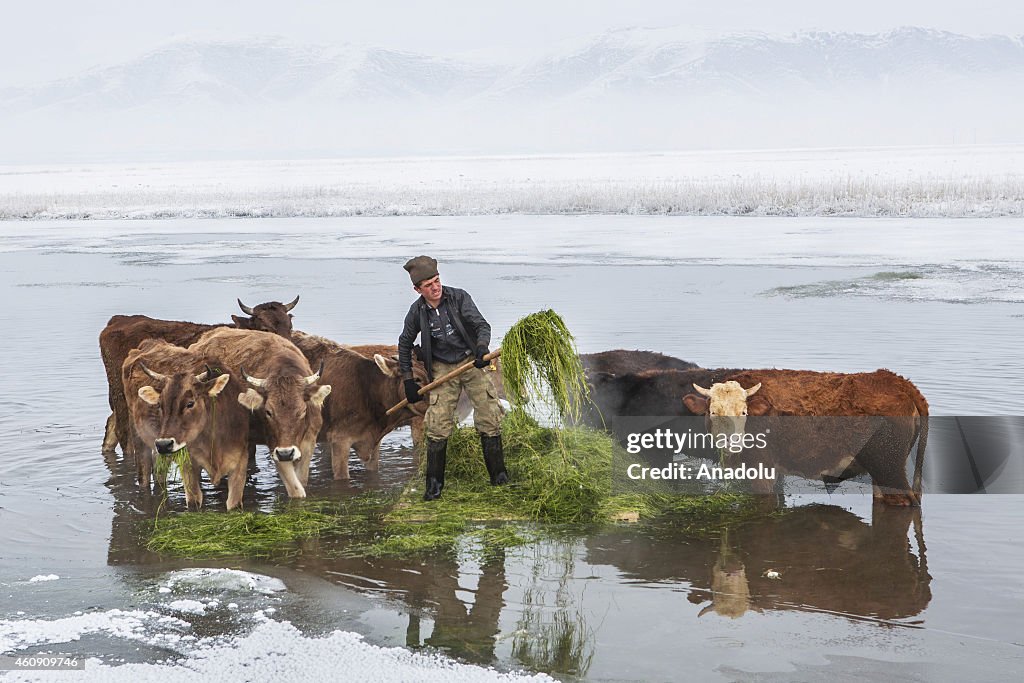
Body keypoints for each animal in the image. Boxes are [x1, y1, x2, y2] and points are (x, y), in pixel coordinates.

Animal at [99, 296, 299, 466]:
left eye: (290, 326)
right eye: (265, 328)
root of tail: (118, 320)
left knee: (111, 426)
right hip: (121, 399)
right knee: (124, 435)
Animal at [122, 339, 251, 507]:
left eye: (190, 403)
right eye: (160, 405)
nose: (164, 444)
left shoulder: (240, 462)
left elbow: (234, 504)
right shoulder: (188, 465)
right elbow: (194, 502)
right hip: (139, 440)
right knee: (144, 476)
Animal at [185, 327, 327, 499]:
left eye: (302, 411)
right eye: (268, 412)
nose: (285, 453)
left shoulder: (308, 442)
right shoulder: (275, 445)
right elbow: (296, 490)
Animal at [684, 368, 933, 507]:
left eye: (743, 412)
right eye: (713, 412)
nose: (730, 441)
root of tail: (898, 382)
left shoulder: (761, 470)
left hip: (889, 469)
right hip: (881, 474)